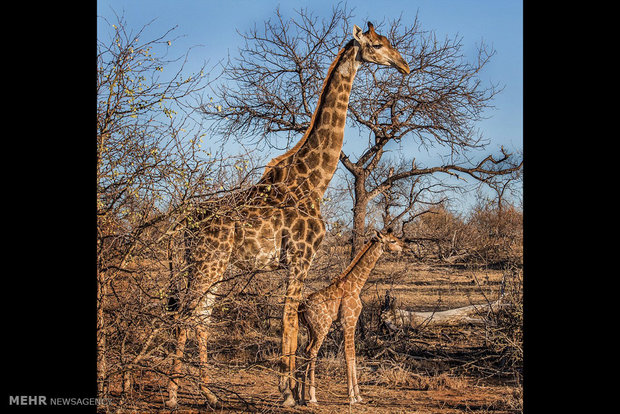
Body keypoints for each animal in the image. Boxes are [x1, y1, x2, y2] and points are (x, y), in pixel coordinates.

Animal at [298, 228, 404, 402]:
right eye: (393, 241)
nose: (404, 246)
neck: (356, 285)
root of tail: (301, 307)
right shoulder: (348, 320)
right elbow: (348, 354)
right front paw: (352, 397)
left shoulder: (351, 322)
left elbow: (353, 354)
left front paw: (359, 395)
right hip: (322, 327)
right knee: (313, 351)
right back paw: (312, 396)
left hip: (310, 329)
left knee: (305, 350)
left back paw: (300, 395)